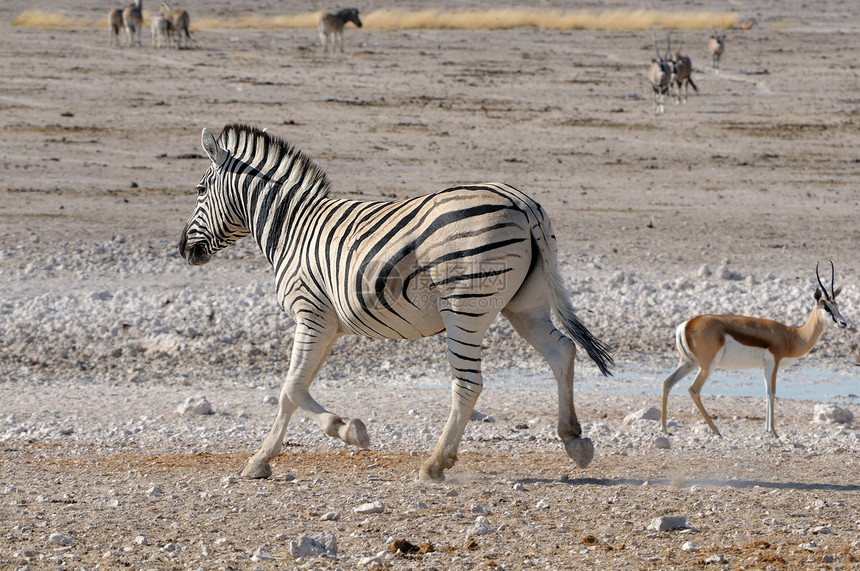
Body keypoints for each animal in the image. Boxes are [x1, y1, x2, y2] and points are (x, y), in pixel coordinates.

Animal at [180, 124, 612, 482]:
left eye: (200, 191)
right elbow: (297, 388)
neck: (292, 227)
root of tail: (521, 201)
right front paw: (300, 445)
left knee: (469, 383)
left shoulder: (311, 315)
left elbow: (291, 389)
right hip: (526, 306)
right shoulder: (328, 326)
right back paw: (574, 440)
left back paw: (436, 463)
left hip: (464, 308)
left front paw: (310, 443)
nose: (182, 249)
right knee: (562, 351)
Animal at [660, 262, 848, 438]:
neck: (792, 336)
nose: (843, 323)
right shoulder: (773, 362)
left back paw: (665, 430)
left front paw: (767, 430)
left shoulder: (765, 365)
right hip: (707, 366)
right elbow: (772, 392)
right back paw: (716, 431)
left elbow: (766, 392)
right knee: (693, 390)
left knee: (667, 382)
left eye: (837, 305)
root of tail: (686, 325)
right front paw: (774, 432)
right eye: (827, 308)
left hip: (688, 363)